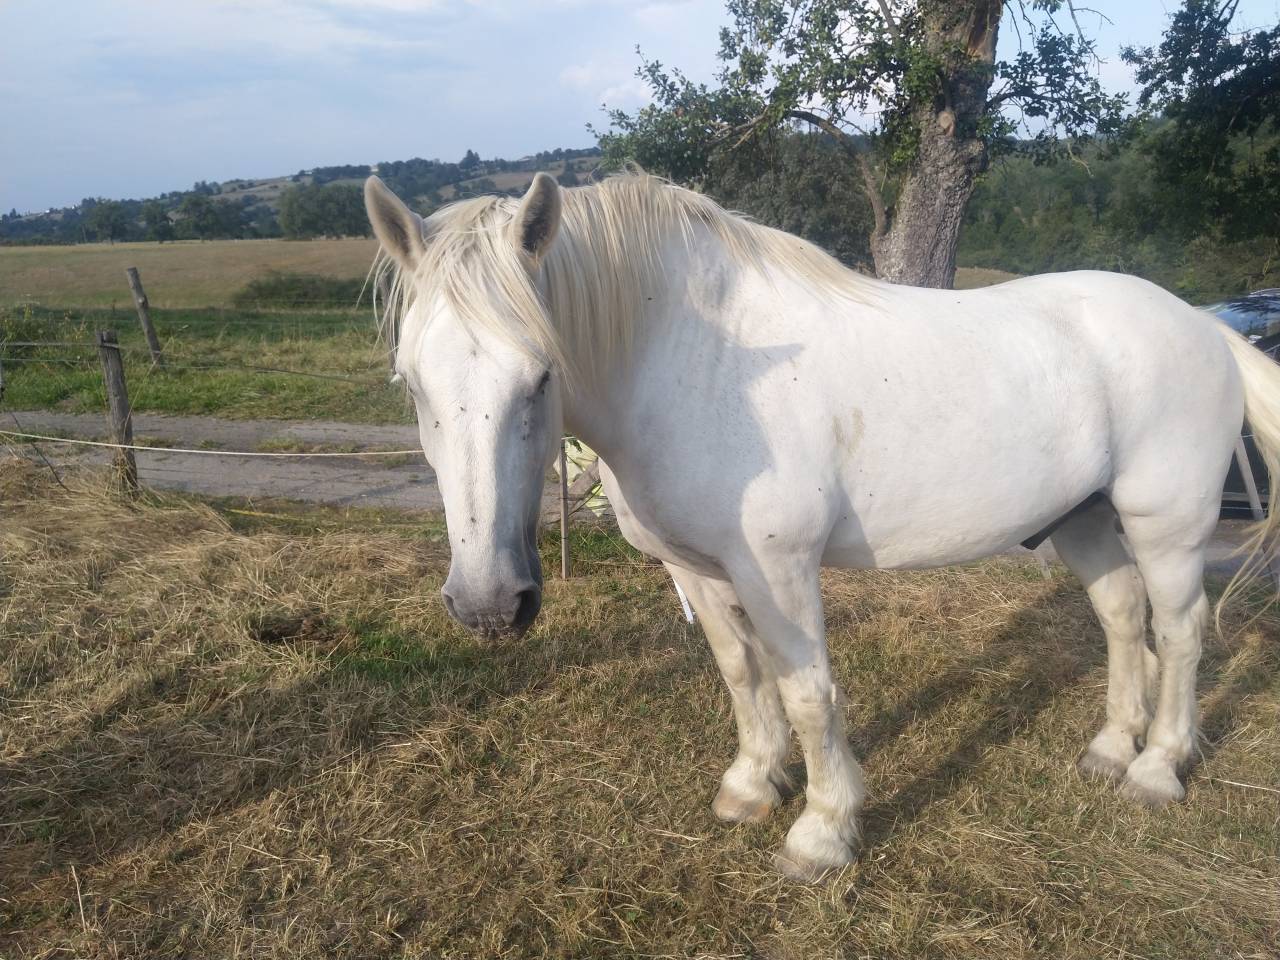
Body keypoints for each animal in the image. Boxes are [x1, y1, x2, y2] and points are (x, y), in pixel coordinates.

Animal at [362, 170, 1280, 882]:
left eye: (542, 375)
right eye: (410, 381)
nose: (490, 604)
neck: (692, 365)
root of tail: (1202, 325)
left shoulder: (778, 566)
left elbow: (807, 692)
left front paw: (823, 830)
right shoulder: (697, 568)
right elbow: (742, 673)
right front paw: (751, 784)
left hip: (1166, 525)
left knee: (1181, 632)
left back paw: (1157, 768)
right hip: (1083, 519)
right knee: (1123, 618)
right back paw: (1109, 749)